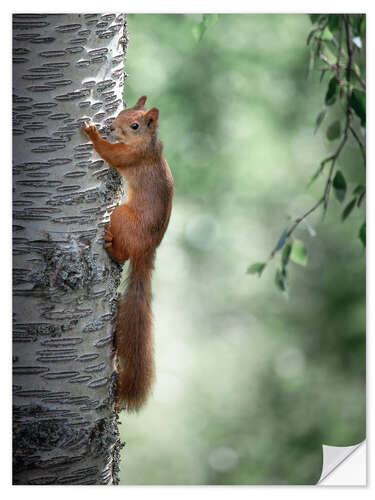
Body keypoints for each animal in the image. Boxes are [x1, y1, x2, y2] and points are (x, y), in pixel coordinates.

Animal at [81, 95, 174, 412]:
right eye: (122, 112)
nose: (112, 127)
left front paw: (93, 134)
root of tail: (147, 249)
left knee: (122, 254)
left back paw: (111, 244)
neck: (149, 144)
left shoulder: (130, 158)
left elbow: (111, 155)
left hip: (121, 216)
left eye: (134, 125)